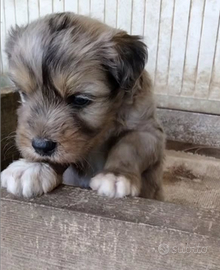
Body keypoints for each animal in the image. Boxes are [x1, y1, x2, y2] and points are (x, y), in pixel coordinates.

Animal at [0, 12, 165, 198]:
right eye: (23, 94)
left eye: (80, 100)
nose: (41, 146)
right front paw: (33, 166)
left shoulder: (148, 131)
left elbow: (129, 146)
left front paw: (116, 175)